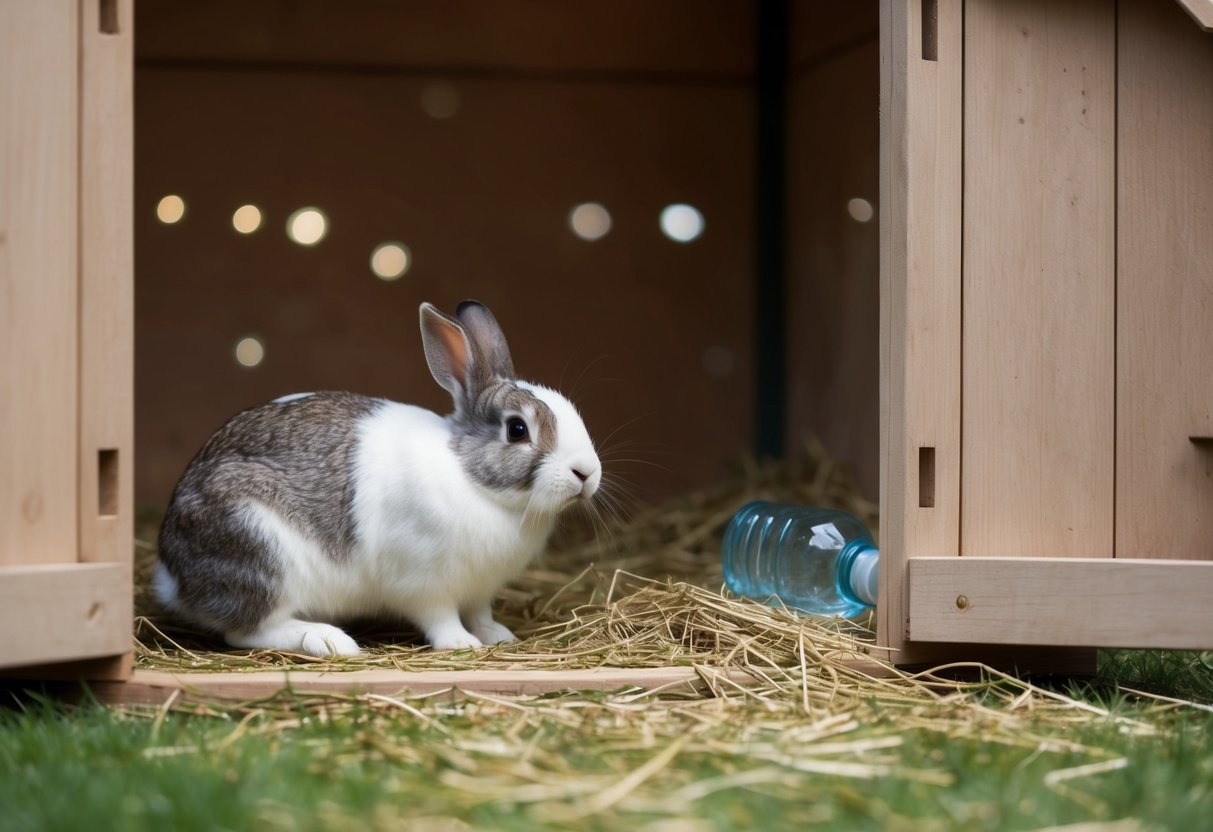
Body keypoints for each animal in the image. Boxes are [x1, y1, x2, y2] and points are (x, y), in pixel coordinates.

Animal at [153, 300, 602, 657]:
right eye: (517, 430)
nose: (587, 472)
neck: (474, 482)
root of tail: (172, 574)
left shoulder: (479, 589)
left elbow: (480, 612)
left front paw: (498, 635)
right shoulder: (424, 583)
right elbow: (440, 617)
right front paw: (461, 644)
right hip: (261, 548)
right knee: (247, 631)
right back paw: (329, 641)